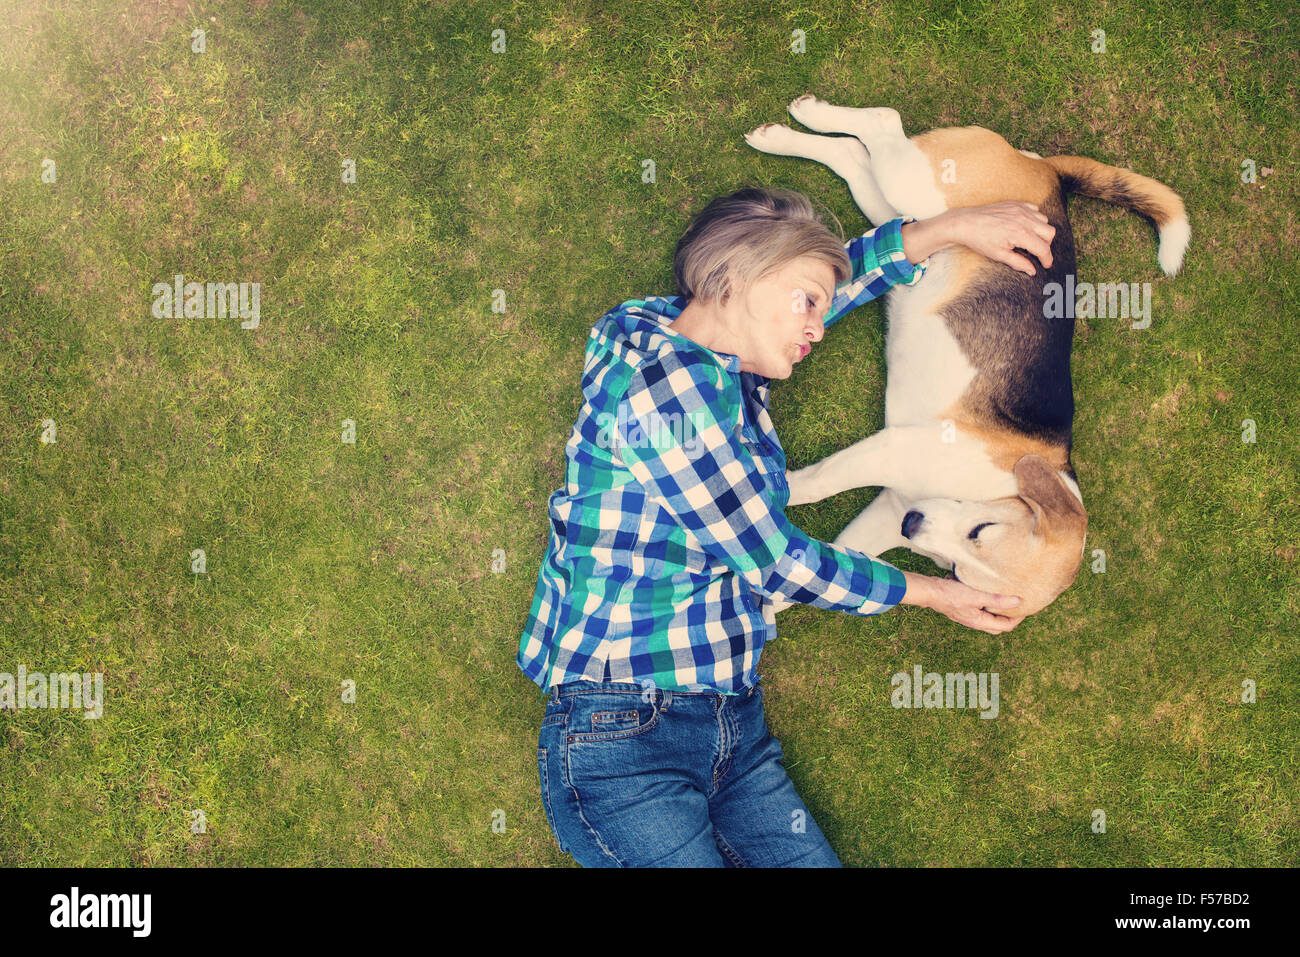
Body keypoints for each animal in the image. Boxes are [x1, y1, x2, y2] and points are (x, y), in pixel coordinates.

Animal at [754, 95, 1190, 613]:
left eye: (957, 571)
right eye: (982, 530)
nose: (913, 525)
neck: (999, 488)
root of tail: (1050, 176)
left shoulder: (888, 503)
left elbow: (833, 565)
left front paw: (774, 600)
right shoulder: (891, 449)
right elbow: (818, 483)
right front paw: (774, 492)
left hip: (908, 218)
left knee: (854, 158)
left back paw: (787, 134)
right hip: (922, 184)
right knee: (883, 122)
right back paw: (807, 117)